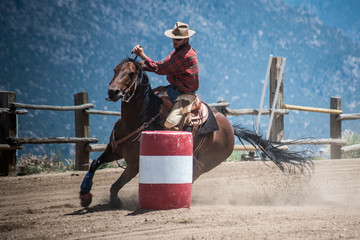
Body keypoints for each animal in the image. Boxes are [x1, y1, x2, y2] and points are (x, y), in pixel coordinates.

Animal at [79, 57, 312, 208]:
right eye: (114, 69)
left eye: (131, 73)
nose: (113, 92)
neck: (140, 117)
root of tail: (229, 127)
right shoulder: (113, 150)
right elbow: (94, 164)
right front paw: (84, 194)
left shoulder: (135, 164)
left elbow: (116, 184)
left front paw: (115, 201)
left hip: (205, 163)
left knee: (191, 176)